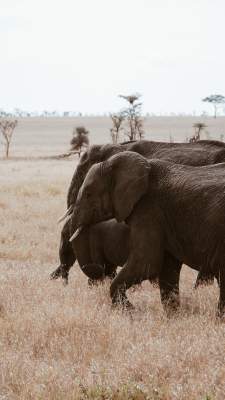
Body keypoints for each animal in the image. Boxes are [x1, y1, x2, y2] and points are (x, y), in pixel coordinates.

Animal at [69, 152, 224, 318]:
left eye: (88, 194)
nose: (100, 268)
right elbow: (167, 268)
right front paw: (173, 317)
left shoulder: (149, 209)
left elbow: (146, 263)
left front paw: (130, 311)